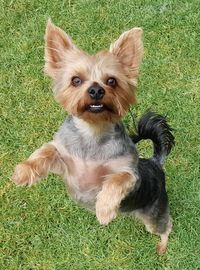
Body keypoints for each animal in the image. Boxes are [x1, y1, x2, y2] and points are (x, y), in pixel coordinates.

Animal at [12, 20, 173, 255]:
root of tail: (155, 163)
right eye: (76, 80)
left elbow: (117, 179)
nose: (96, 90)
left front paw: (104, 209)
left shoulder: (129, 174)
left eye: (112, 81)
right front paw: (23, 172)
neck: (93, 134)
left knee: (165, 226)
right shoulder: (64, 157)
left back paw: (162, 246)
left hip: (154, 213)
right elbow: (46, 150)